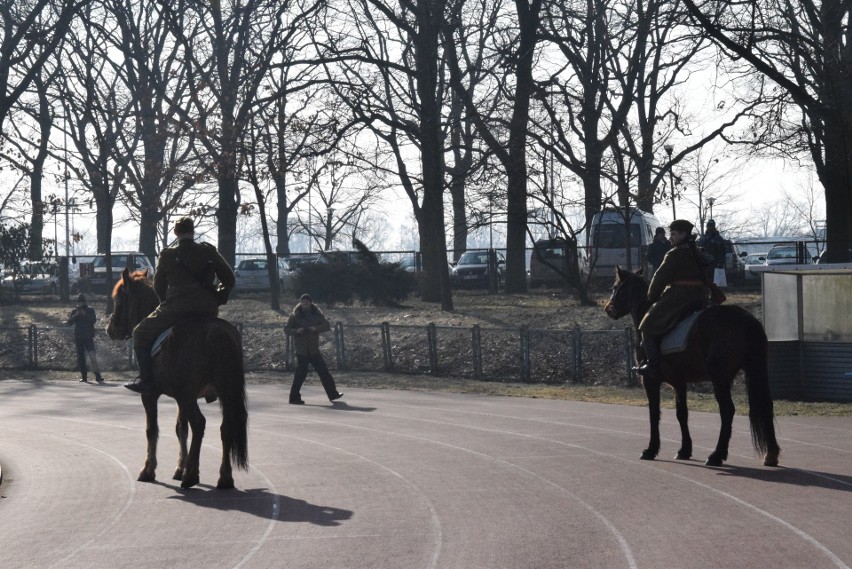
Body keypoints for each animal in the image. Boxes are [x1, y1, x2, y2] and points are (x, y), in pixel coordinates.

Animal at [105, 268, 248, 486]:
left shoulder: (151, 395)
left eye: (119, 299)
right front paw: (180, 467)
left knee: (199, 423)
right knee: (225, 428)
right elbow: (181, 428)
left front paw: (148, 469)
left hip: (188, 395)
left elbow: (152, 430)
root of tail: (219, 333)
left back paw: (192, 476)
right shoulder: (181, 398)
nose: (110, 329)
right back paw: (223, 477)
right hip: (222, 392)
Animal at [604, 266, 780, 466]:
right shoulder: (679, 382)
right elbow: (682, 414)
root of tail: (745, 318)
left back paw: (716, 455)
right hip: (755, 370)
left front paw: (651, 449)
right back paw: (771, 454)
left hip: (720, 378)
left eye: (615, 287)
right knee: (766, 405)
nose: (608, 309)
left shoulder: (649, 380)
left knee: (727, 410)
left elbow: (654, 413)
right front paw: (684, 449)